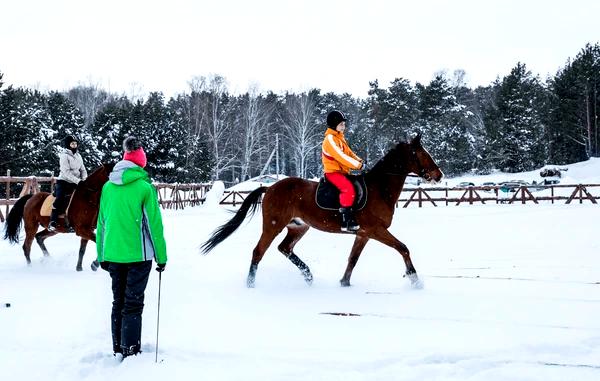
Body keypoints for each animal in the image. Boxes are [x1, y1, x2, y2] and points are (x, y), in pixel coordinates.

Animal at [204, 134, 442, 284]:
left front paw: (344, 283)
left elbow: (353, 259)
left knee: (285, 248)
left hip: (299, 227)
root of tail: (270, 187)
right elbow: (403, 248)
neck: (379, 188)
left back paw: (308, 276)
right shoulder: (376, 230)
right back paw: (251, 285)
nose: (438, 175)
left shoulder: (363, 234)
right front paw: (414, 280)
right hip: (273, 226)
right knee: (258, 252)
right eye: (423, 154)